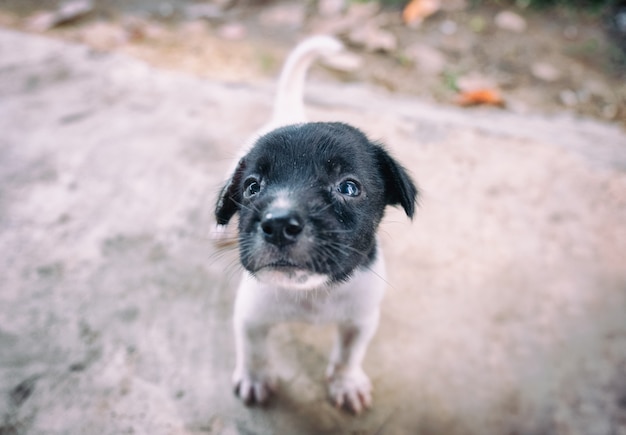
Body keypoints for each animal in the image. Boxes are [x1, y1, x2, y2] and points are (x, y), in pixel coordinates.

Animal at [216, 35, 420, 414]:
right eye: (252, 187)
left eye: (348, 187)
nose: (278, 224)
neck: (312, 293)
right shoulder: (251, 315)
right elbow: (254, 351)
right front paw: (255, 379)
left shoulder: (361, 320)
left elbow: (348, 356)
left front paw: (346, 383)